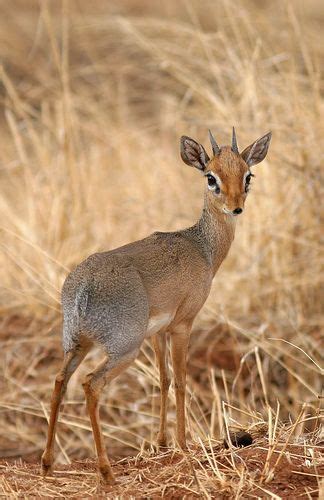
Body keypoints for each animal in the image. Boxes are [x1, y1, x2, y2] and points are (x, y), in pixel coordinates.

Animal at [41, 129, 272, 484]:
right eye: (211, 177)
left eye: (247, 175)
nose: (235, 208)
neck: (202, 248)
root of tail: (81, 290)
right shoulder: (183, 325)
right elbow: (180, 382)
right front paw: (183, 445)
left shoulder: (158, 333)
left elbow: (162, 381)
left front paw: (162, 443)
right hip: (124, 349)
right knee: (91, 384)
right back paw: (106, 472)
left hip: (77, 343)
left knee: (59, 381)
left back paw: (47, 463)